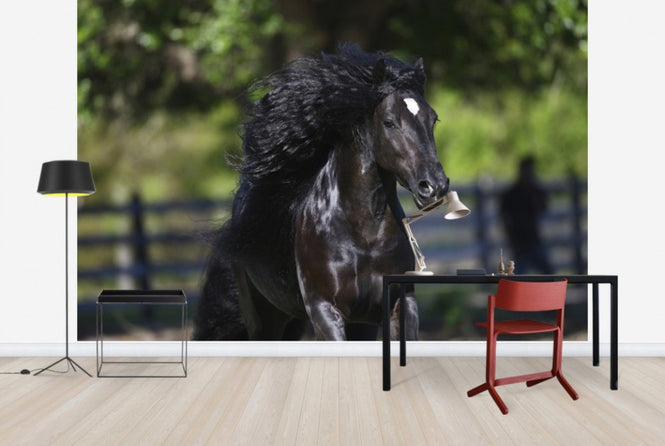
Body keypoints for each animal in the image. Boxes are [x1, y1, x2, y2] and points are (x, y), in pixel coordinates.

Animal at [194, 43, 451, 341]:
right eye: (389, 122)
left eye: (433, 119)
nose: (433, 185)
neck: (365, 237)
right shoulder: (324, 310)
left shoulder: (399, 303)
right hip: (264, 320)